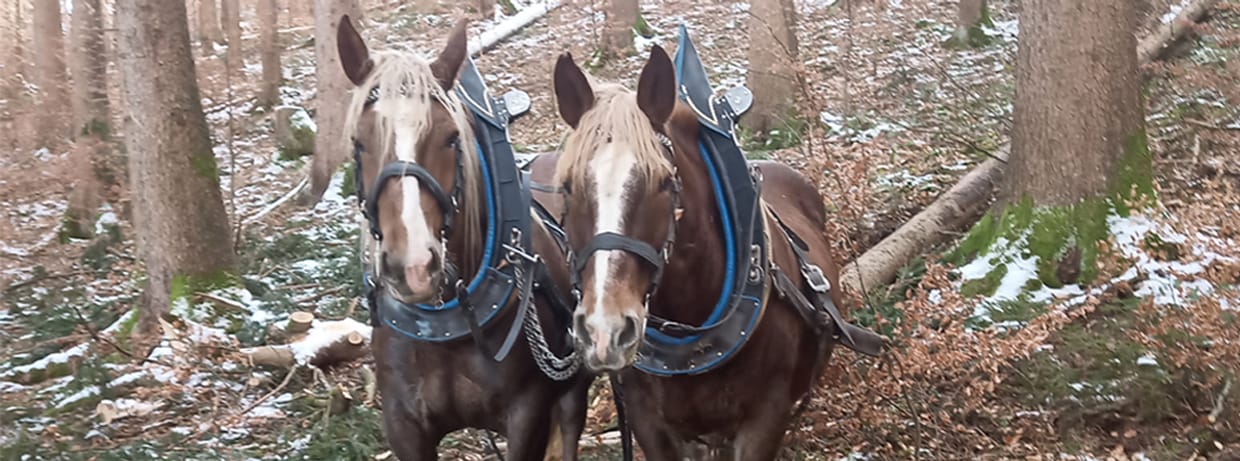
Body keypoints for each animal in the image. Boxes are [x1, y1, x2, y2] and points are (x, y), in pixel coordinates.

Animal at [335, 15, 590, 460]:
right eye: (359, 142)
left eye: (451, 138)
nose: (414, 268)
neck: (446, 325)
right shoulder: (404, 426)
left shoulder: (528, 415)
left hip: (573, 389)